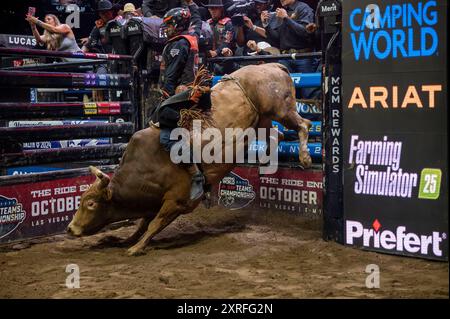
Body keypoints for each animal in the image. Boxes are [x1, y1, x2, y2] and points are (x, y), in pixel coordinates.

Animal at [67, 63, 312, 256]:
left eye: (91, 203)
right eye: (81, 200)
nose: (70, 228)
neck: (144, 168)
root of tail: (272, 66)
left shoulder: (177, 200)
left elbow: (154, 224)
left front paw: (136, 248)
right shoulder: (154, 201)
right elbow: (143, 224)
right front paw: (128, 240)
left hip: (281, 110)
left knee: (303, 124)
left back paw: (305, 157)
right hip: (263, 120)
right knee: (278, 134)